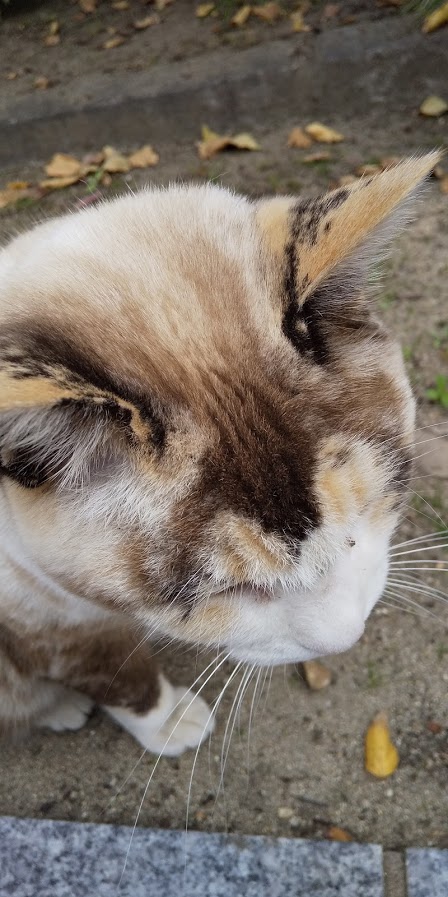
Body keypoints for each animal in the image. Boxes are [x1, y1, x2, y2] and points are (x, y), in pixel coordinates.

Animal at [0, 150, 440, 752]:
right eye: (230, 590)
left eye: (360, 522)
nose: (345, 638)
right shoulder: (45, 621)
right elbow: (114, 673)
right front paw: (166, 722)